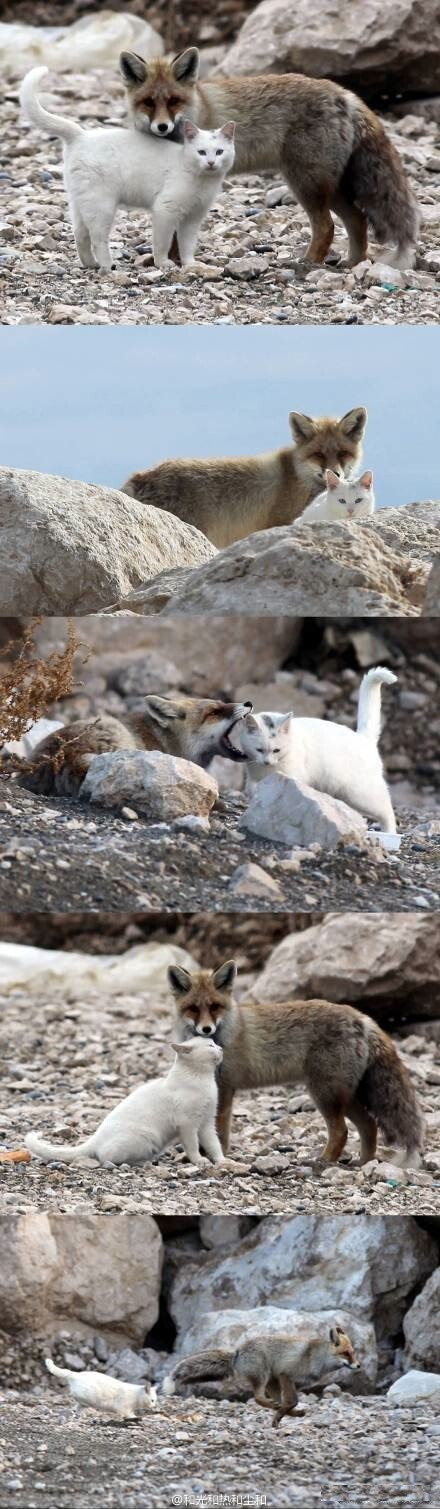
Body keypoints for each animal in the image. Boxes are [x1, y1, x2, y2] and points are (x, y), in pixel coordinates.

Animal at [24, 1044, 223, 1170]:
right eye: (210, 1045)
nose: (221, 1048)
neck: (204, 1079)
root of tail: (95, 1138)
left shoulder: (207, 1123)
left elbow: (214, 1144)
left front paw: (222, 1161)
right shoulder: (187, 1124)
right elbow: (193, 1146)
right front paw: (200, 1161)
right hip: (144, 1138)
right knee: (107, 1158)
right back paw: (141, 1163)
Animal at [121, 44, 418, 268]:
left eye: (173, 101)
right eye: (148, 102)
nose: (162, 127)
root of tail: (344, 93)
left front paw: (172, 260)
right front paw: (172, 259)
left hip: (305, 184)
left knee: (326, 227)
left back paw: (307, 263)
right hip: (331, 189)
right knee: (358, 220)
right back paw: (353, 263)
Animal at [122, 410, 366, 552]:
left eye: (343, 453)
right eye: (318, 455)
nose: (335, 473)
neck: (298, 476)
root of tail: (142, 475)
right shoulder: (277, 523)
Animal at [163, 1321, 358, 1424]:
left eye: (353, 1353)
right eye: (346, 1353)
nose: (358, 1366)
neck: (315, 1358)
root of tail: (238, 1351)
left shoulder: (290, 1382)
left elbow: (290, 1403)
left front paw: (281, 1415)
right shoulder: (286, 1374)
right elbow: (292, 1401)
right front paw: (280, 1415)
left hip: (271, 1381)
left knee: (274, 1401)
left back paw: (283, 1413)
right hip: (263, 1377)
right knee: (258, 1398)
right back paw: (277, 1411)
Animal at [232, 669, 397, 839]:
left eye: (276, 750)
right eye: (259, 750)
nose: (267, 762)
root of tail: (363, 738)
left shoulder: (293, 776)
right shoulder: (253, 776)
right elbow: (253, 790)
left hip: (361, 795)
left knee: (387, 808)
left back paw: (390, 832)